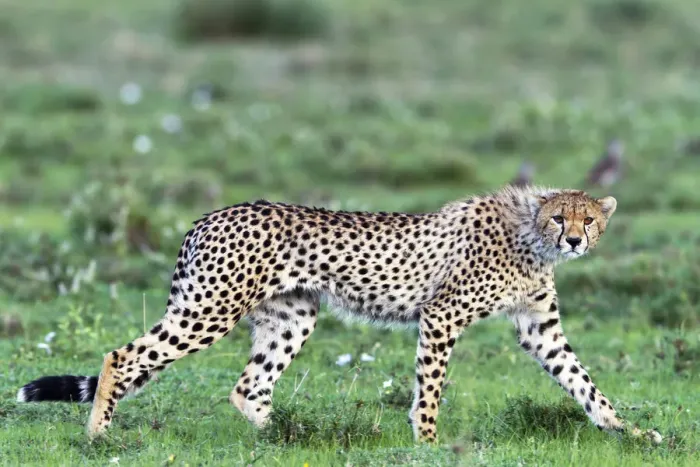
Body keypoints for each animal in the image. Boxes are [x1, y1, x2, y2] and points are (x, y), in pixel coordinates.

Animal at [17, 184, 662, 444]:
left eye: (589, 220)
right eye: (560, 218)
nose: (575, 240)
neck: (530, 237)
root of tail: (211, 215)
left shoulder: (539, 328)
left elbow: (584, 383)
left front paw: (630, 432)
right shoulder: (442, 316)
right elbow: (431, 389)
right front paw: (428, 441)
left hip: (291, 316)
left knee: (249, 387)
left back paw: (290, 437)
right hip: (210, 309)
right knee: (122, 355)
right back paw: (99, 435)